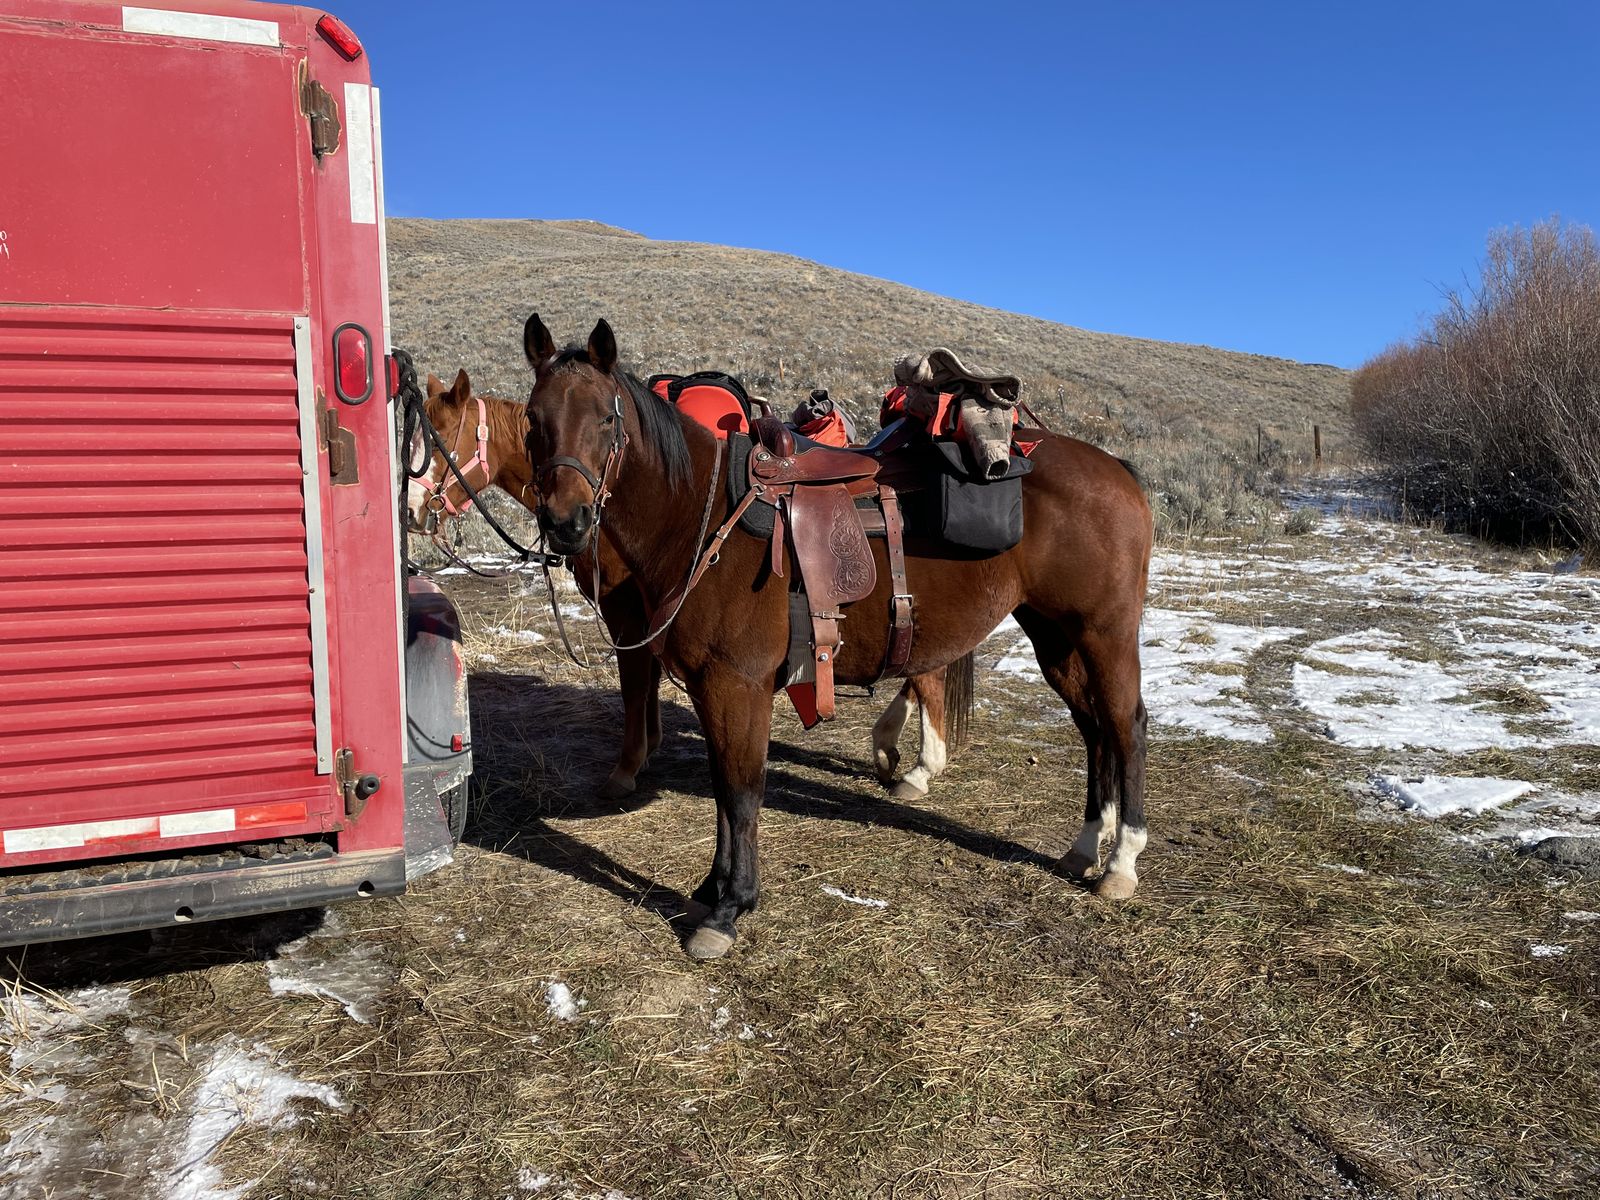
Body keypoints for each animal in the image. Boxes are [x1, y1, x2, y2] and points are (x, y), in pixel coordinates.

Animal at [404, 367, 973, 804]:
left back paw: (919, 766)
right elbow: (648, 680)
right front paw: (648, 748)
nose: (410, 511)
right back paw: (891, 748)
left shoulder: (627, 611)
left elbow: (636, 683)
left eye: (437, 438)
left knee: (928, 674)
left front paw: (627, 767)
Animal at [521, 315, 1154, 960]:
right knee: (1093, 729)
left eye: (607, 417)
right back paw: (1085, 847)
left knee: (1125, 726)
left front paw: (729, 907)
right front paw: (712, 889)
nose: (566, 523)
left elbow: (740, 792)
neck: (700, 517)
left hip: (1104, 633)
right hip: (1056, 637)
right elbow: (724, 788)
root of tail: (1117, 471)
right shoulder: (709, 686)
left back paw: (1121, 862)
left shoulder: (737, 685)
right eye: (533, 418)